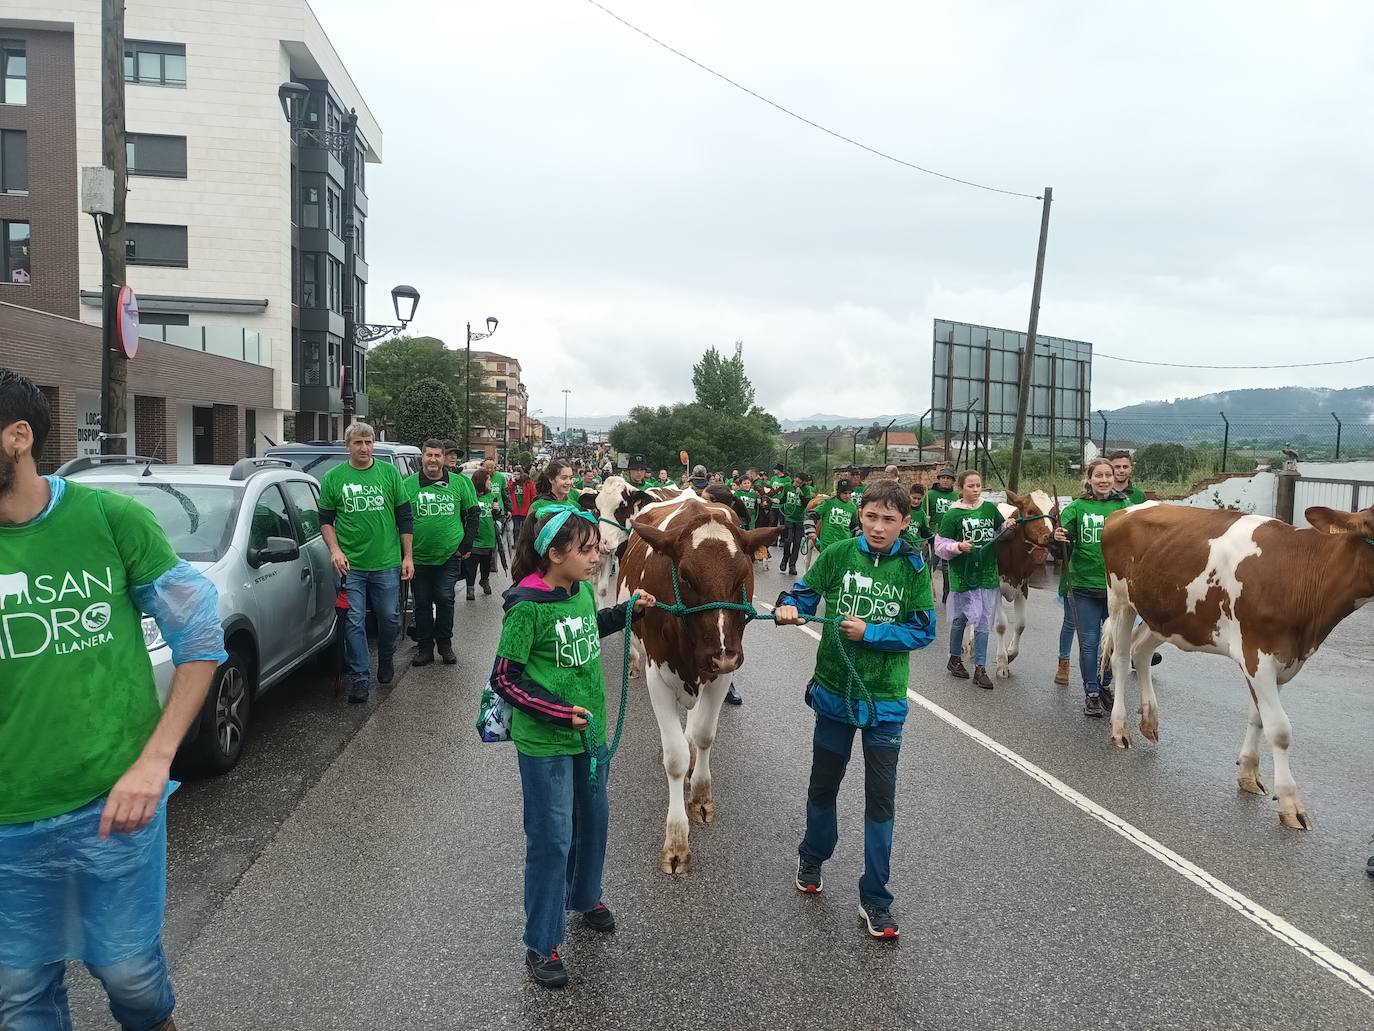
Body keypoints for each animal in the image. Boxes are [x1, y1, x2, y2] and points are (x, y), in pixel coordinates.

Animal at [618, 492, 780, 874]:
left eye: (743, 577)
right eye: (685, 577)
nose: (722, 654)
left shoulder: (723, 673)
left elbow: (704, 735)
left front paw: (702, 796)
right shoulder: (657, 675)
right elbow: (675, 758)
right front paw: (676, 841)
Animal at [1099, 505, 1374, 835]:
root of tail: (1123, 511)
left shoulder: (1282, 659)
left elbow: (1258, 717)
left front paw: (1248, 773)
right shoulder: (1257, 655)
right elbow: (1279, 729)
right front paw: (1289, 804)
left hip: (1166, 616)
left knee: (1141, 651)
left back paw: (1149, 720)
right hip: (1120, 600)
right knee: (1121, 658)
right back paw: (1119, 728)